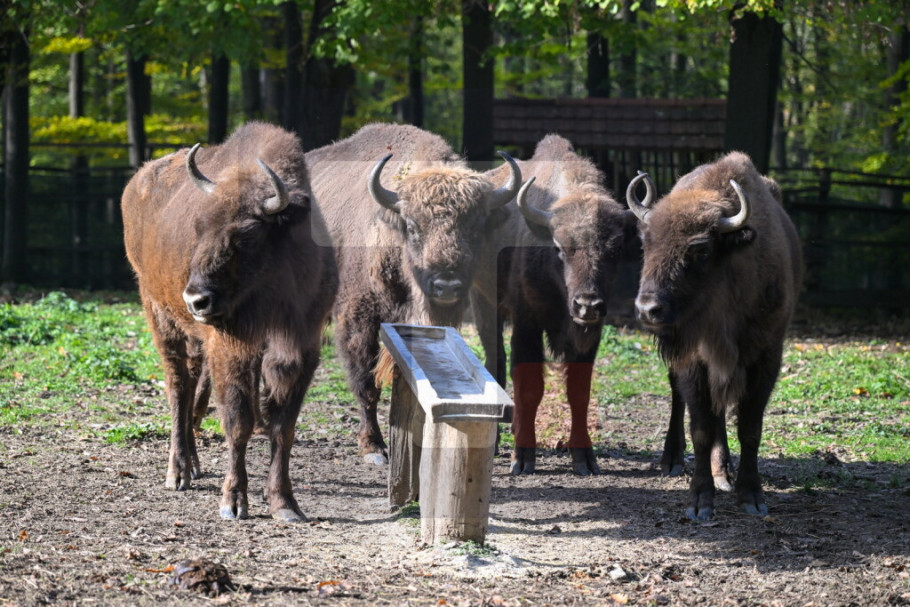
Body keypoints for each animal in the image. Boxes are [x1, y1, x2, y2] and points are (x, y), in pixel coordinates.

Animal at [122, 122, 338, 521]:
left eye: (246, 235)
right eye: (198, 226)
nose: (196, 299)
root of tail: (137, 182)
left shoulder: (301, 347)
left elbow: (283, 426)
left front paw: (285, 503)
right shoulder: (231, 345)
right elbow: (239, 421)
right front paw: (234, 502)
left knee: (193, 383)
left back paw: (193, 465)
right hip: (159, 313)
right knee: (178, 386)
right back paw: (177, 473)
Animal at [304, 123, 522, 463]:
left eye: (474, 229)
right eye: (413, 226)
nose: (446, 285)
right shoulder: (358, 318)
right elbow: (365, 381)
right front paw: (373, 448)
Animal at [472, 135, 636, 475]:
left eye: (614, 250)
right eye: (559, 247)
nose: (588, 304)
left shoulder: (590, 336)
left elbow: (579, 392)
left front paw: (584, 457)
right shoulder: (527, 327)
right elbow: (530, 387)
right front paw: (522, 457)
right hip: (484, 305)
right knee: (495, 363)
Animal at [627, 152, 802, 520]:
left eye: (701, 250)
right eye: (647, 242)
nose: (648, 309)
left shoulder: (766, 355)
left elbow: (750, 427)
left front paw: (751, 496)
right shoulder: (693, 359)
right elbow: (702, 428)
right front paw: (700, 501)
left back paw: (724, 472)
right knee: (680, 399)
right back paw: (673, 460)